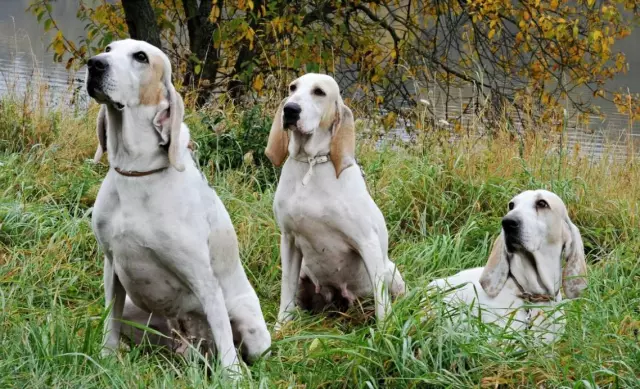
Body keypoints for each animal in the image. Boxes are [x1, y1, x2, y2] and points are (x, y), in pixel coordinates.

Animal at [85, 40, 270, 372]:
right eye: (108, 47)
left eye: (141, 57)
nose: (94, 64)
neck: (136, 171)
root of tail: (189, 344)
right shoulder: (112, 267)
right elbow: (110, 326)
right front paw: (106, 359)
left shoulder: (204, 279)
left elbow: (225, 342)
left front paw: (232, 377)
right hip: (137, 310)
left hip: (251, 327)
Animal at [264, 73, 404, 328]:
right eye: (292, 88)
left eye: (319, 92)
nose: (290, 109)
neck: (311, 164)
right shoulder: (288, 240)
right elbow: (286, 288)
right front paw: (281, 326)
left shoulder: (367, 241)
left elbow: (382, 301)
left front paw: (385, 330)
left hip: (392, 271)